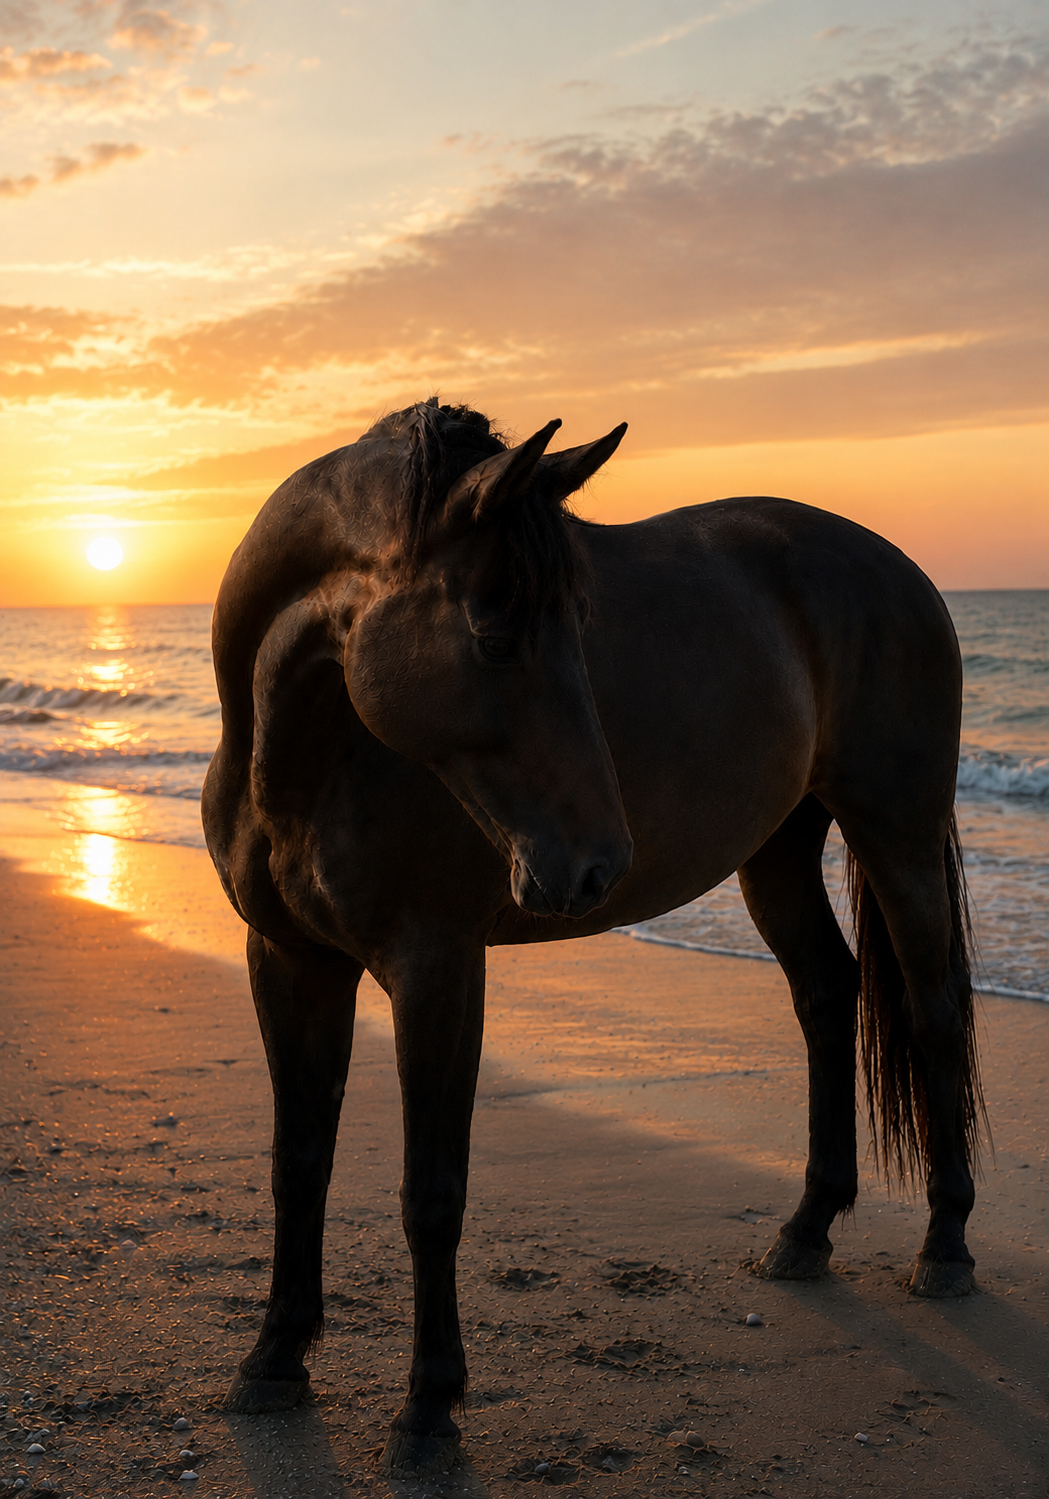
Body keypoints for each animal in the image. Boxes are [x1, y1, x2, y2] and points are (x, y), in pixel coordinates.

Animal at [202, 399, 983, 1475]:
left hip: (894, 829)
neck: (314, 755)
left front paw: (429, 1406)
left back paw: (943, 1245)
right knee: (827, 993)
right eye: (493, 635)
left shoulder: (437, 969)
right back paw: (805, 1229)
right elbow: (296, 1162)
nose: (594, 865)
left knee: (934, 1010)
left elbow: (431, 1189)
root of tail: (896, 570)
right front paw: (274, 1359)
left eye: (576, 624)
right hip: (777, 850)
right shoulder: (289, 962)